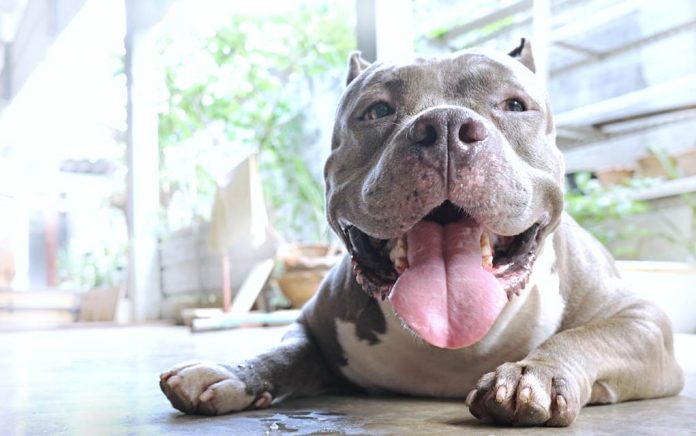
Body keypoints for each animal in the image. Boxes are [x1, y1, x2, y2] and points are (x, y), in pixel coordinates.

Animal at [159, 39, 684, 428]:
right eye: (376, 110)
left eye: (515, 105)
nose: (446, 126)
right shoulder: (310, 322)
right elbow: (284, 350)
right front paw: (234, 372)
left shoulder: (643, 322)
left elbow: (584, 338)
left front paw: (533, 373)